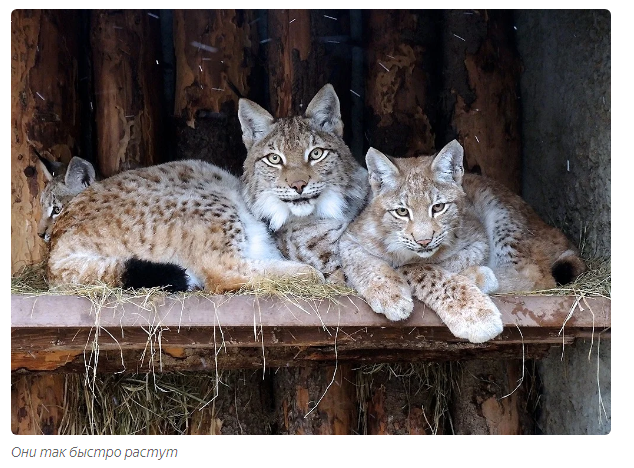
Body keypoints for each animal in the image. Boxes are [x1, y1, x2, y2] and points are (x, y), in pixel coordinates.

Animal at [340, 141, 584, 342]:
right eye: (401, 212)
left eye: (438, 207)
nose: (424, 241)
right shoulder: (348, 239)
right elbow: (364, 263)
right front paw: (389, 293)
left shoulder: (478, 240)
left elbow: (423, 267)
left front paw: (473, 308)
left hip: (500, 212)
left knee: (536, 275)